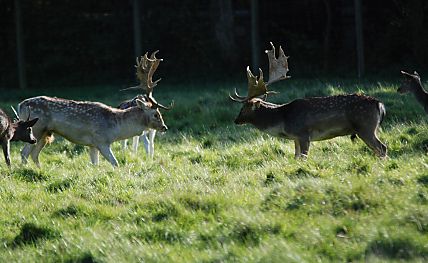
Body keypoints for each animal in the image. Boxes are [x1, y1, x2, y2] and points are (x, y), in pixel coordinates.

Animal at [18, 51, 172, 167]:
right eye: (156, 114)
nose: (164, 127)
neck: (116, 128)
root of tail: (20, 106)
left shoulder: (92, 144)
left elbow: (95, 164)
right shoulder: (101, 140)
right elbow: (115, 163)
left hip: (45, 132)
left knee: (34, 154)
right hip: (36, 128)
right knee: (24, 153)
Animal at [231, 42, 388, 160]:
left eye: (243, 108)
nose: (236, 121)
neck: (283, 121)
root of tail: (379, 104)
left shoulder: (303, 134)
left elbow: (303, 157)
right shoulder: (295, 138)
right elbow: (296, 157)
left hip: (365, 126)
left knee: (382, 147)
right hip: (371, 128)